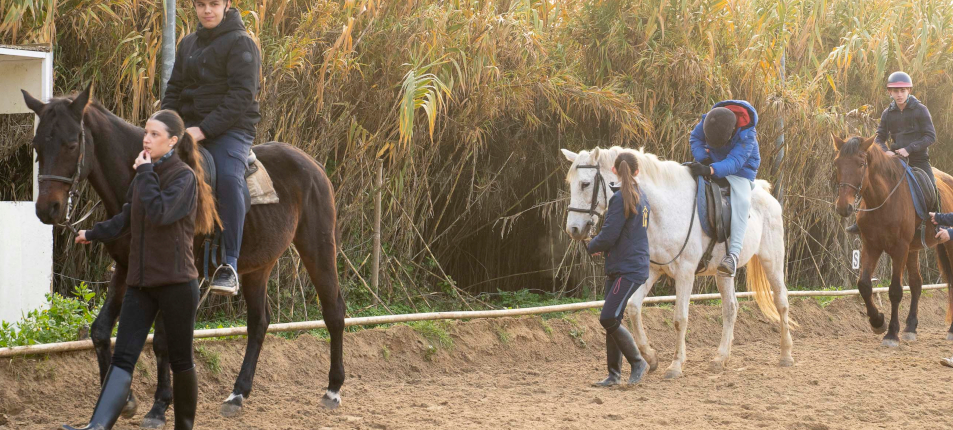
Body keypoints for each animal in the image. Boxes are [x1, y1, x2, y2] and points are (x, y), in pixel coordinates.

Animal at [22, 84, 345, 426]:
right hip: (259, 266)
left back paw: (333, 389)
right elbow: (100, 331)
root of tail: (313, 165)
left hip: (318, 248)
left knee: (334, 311)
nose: (47, 209)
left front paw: (160, 406)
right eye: (37, 145)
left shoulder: (175, 278)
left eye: (71, 144)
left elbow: (163, 341)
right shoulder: (126, 267)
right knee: (259, 323)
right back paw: (237, 394)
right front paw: (126, 400)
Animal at [561, 146, 794, 378]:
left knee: (781, 301)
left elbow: (679, 318)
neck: (665, 209)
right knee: (730, 308)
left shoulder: (685, 273)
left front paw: (675, 365)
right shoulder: (652, 270)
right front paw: (650, 357)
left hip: (772, 260)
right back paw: (720, 358)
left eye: (585, 184)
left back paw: (785, 355)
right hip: (723, 273)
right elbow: (634, 308)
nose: (573, 229)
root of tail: (766, 194)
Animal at [831, 134, 953, 344]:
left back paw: (950, 331)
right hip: (913, 249)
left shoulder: (899, 249)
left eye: (861, 164)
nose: (843, 207)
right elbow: (864, 285)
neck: (884, 198)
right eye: (837, 163)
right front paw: (877, 322)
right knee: (916, 284)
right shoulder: (871, 246)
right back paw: (910, 328)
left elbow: (895, 290)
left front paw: (891, 333)